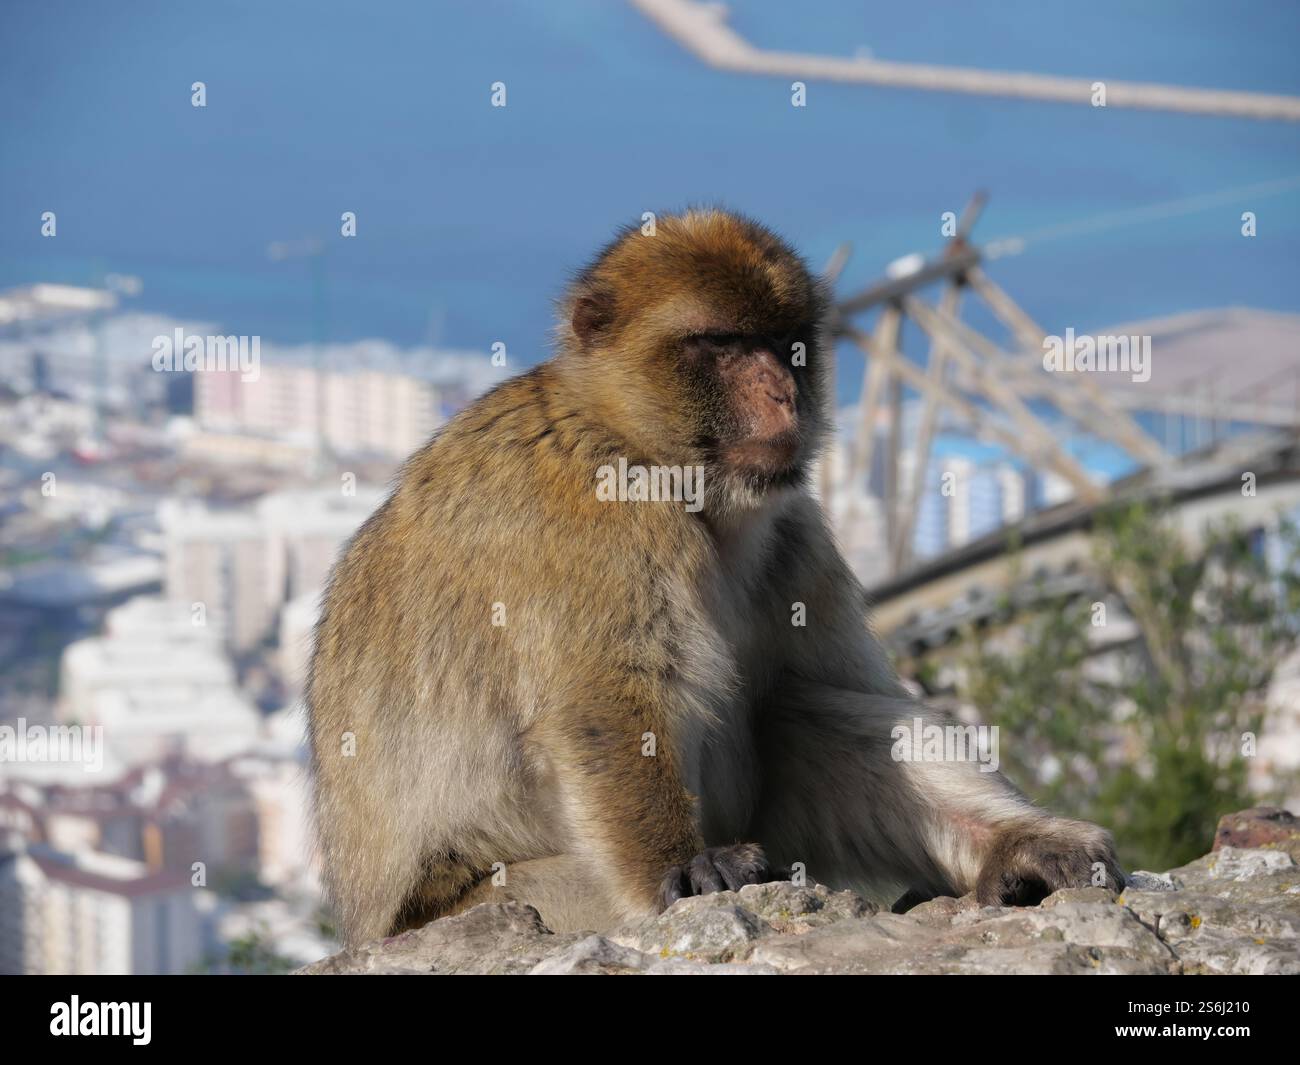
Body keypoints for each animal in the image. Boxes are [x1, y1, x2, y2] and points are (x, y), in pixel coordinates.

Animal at [306, 208, 1124, 947]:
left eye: (784, 346)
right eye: (723, 345)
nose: (782, 395)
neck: (653, 458)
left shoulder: (798, 533)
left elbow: (860, 689)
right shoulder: (598, 520)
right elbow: (603, 707)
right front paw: (684, 865)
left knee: (803, 707)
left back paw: (1011, 849)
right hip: (487, 901)